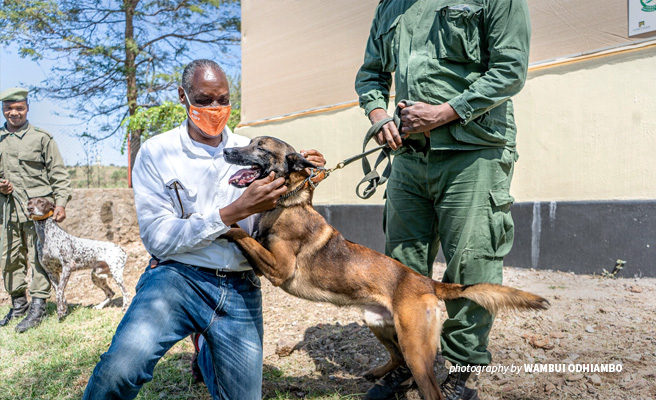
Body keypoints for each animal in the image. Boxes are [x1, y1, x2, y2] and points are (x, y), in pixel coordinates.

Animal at [223, 136, 544, 398]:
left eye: (261, 147)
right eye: (249, 142)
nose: (226, 150)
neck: (287, 204)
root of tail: (426, 282)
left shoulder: (279, 269)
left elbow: (241, 234)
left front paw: (223, 224)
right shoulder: (267, 266)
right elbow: (248, 238)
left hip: (416, 349)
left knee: (425, 383)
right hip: (376, 323)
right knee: (398, 359)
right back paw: (378, 375)